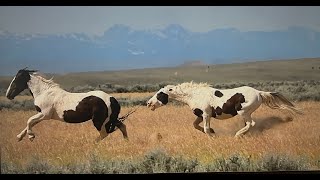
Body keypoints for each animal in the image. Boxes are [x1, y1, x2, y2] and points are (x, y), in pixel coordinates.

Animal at [148, 81, 302, 137]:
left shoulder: (206, 114)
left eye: (159, 94)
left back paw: (237, 135)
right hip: (244, 113)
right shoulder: (200, 115)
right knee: (249, 125)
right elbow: (195, 125)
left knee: (251, 123)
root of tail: (259, 93)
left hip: (243, 111)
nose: (149, 104)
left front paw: (212, 136)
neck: (194, 95)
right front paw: (213, 131)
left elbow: (205, 129)